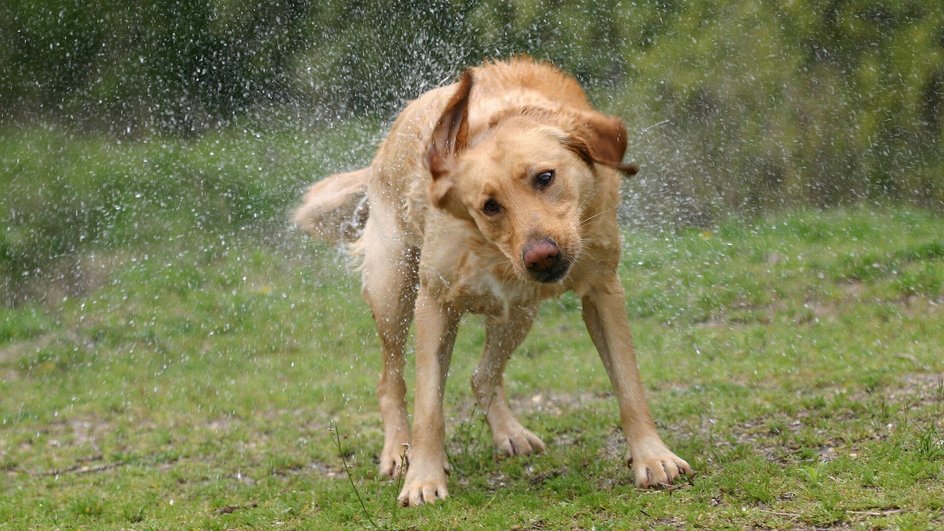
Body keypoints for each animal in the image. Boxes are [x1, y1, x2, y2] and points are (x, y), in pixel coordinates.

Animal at [296, 57, 692, 508]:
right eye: (490, 206)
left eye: (545, 177)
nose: (541, 256)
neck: (492, 250)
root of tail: (382, 152)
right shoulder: (435, 303)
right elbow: (428, 406)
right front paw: (423, 478)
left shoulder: (603, 289)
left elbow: (629, 385)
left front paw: (652, 456)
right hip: (393, 292)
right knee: (391, 380)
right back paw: (399, 451)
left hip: (519, 312)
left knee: (482, 376)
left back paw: (510, 433)